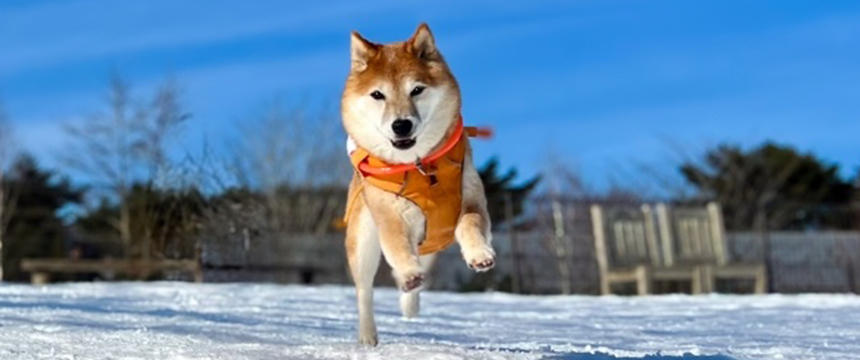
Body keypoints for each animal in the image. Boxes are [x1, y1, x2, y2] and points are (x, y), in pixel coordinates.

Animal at [340, 23, 494, 344]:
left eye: (416, 90)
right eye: (377, 94)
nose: (401, 125)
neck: (420, 166)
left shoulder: (470, 197)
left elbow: (470, 223)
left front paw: (480, 255)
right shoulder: (389, 216)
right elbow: (398, 246)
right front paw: (409, 273)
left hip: (432, 248)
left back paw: (410, 303)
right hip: (363, 240)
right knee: (364, 290)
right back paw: (368, 335)